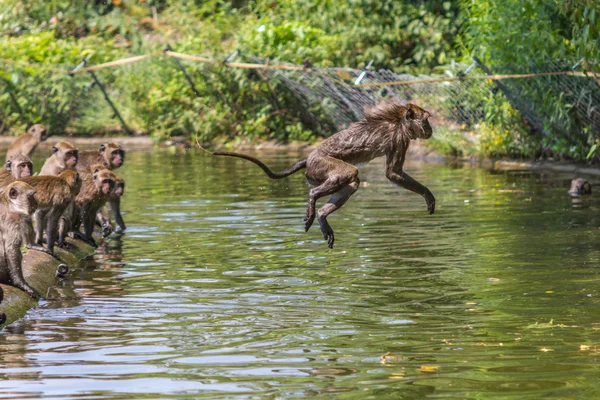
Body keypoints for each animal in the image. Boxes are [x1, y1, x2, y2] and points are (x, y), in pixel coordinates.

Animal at [209, 101, 434, 247]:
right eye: (425, 121)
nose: (431, 130)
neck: (398, 120)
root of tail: (309, 157)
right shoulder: (399, 139)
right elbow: (393, 173)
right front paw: (428, 195)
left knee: (352, 182)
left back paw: (322, 215)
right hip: (320, 165)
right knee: (348, 174)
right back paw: (313, 203)